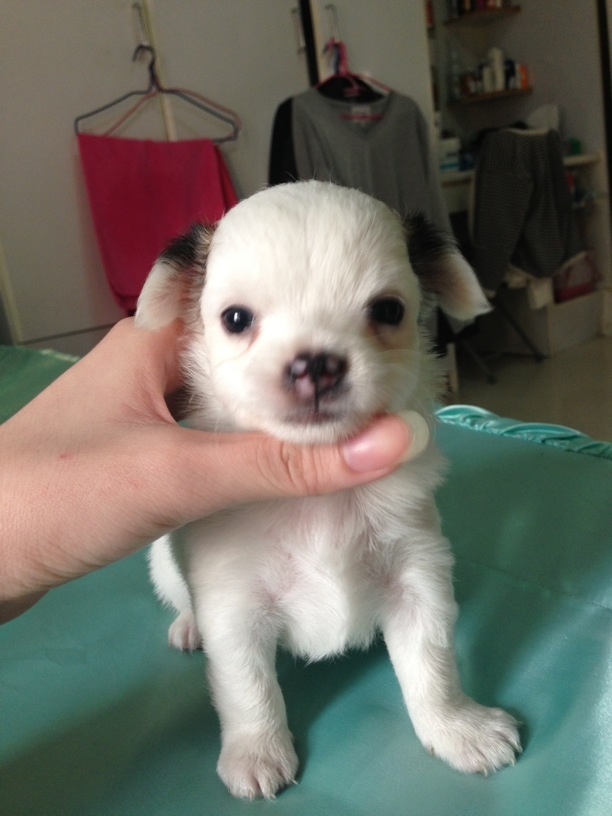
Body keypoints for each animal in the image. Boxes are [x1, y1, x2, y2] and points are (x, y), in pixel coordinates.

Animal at [135, 181, 521, 799]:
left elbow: (432, 666)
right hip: (163, 568)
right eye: (235, 318)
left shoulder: (417, 578)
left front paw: (458, 728)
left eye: (388, 310)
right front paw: (256, 753)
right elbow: (248, 690)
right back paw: (187, 625)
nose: (315, 363)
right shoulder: (233, 608)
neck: (321, 494)